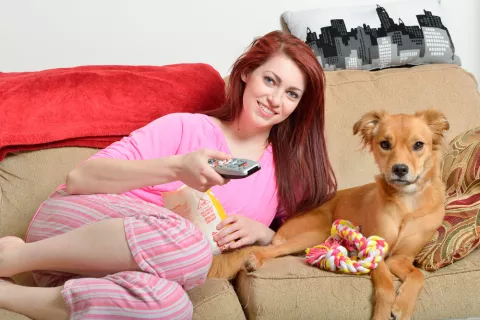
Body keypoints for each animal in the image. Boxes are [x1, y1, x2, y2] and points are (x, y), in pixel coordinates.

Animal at [207, 109, 450, 318]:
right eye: (385, 144)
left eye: (418, 145)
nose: (400, 169)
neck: (406, 203)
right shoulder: (375, 252)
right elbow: (386, 287)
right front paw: (383, 313)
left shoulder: (401, 258)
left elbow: (418, 275)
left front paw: (404, 308)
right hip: (317, 231)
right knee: (267, 249)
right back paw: (253, 259)